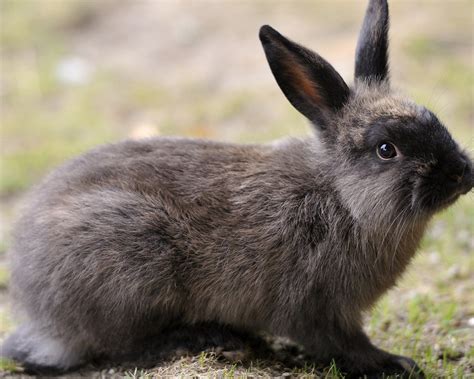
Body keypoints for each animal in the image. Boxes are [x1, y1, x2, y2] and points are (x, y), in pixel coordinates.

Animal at [1, 0, 472, 378]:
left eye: (433, 118)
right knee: (121, 346)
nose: (463, 174)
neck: (343, 198)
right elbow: (343, 343)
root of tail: (37, 308)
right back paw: (207, 339)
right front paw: (394, 362)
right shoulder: (318, 306)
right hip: (133, 263)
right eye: (386, 149)